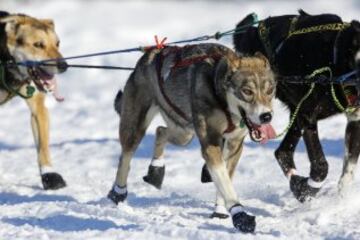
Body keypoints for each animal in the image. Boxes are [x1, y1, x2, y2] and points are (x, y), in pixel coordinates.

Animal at [229, 10, 360, 202]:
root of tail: (251, 31)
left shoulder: (354, 121)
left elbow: (348, 172)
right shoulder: (308, 115)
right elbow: (320, 165)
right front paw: (307, 189)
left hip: (295, 115)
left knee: (282, 151)